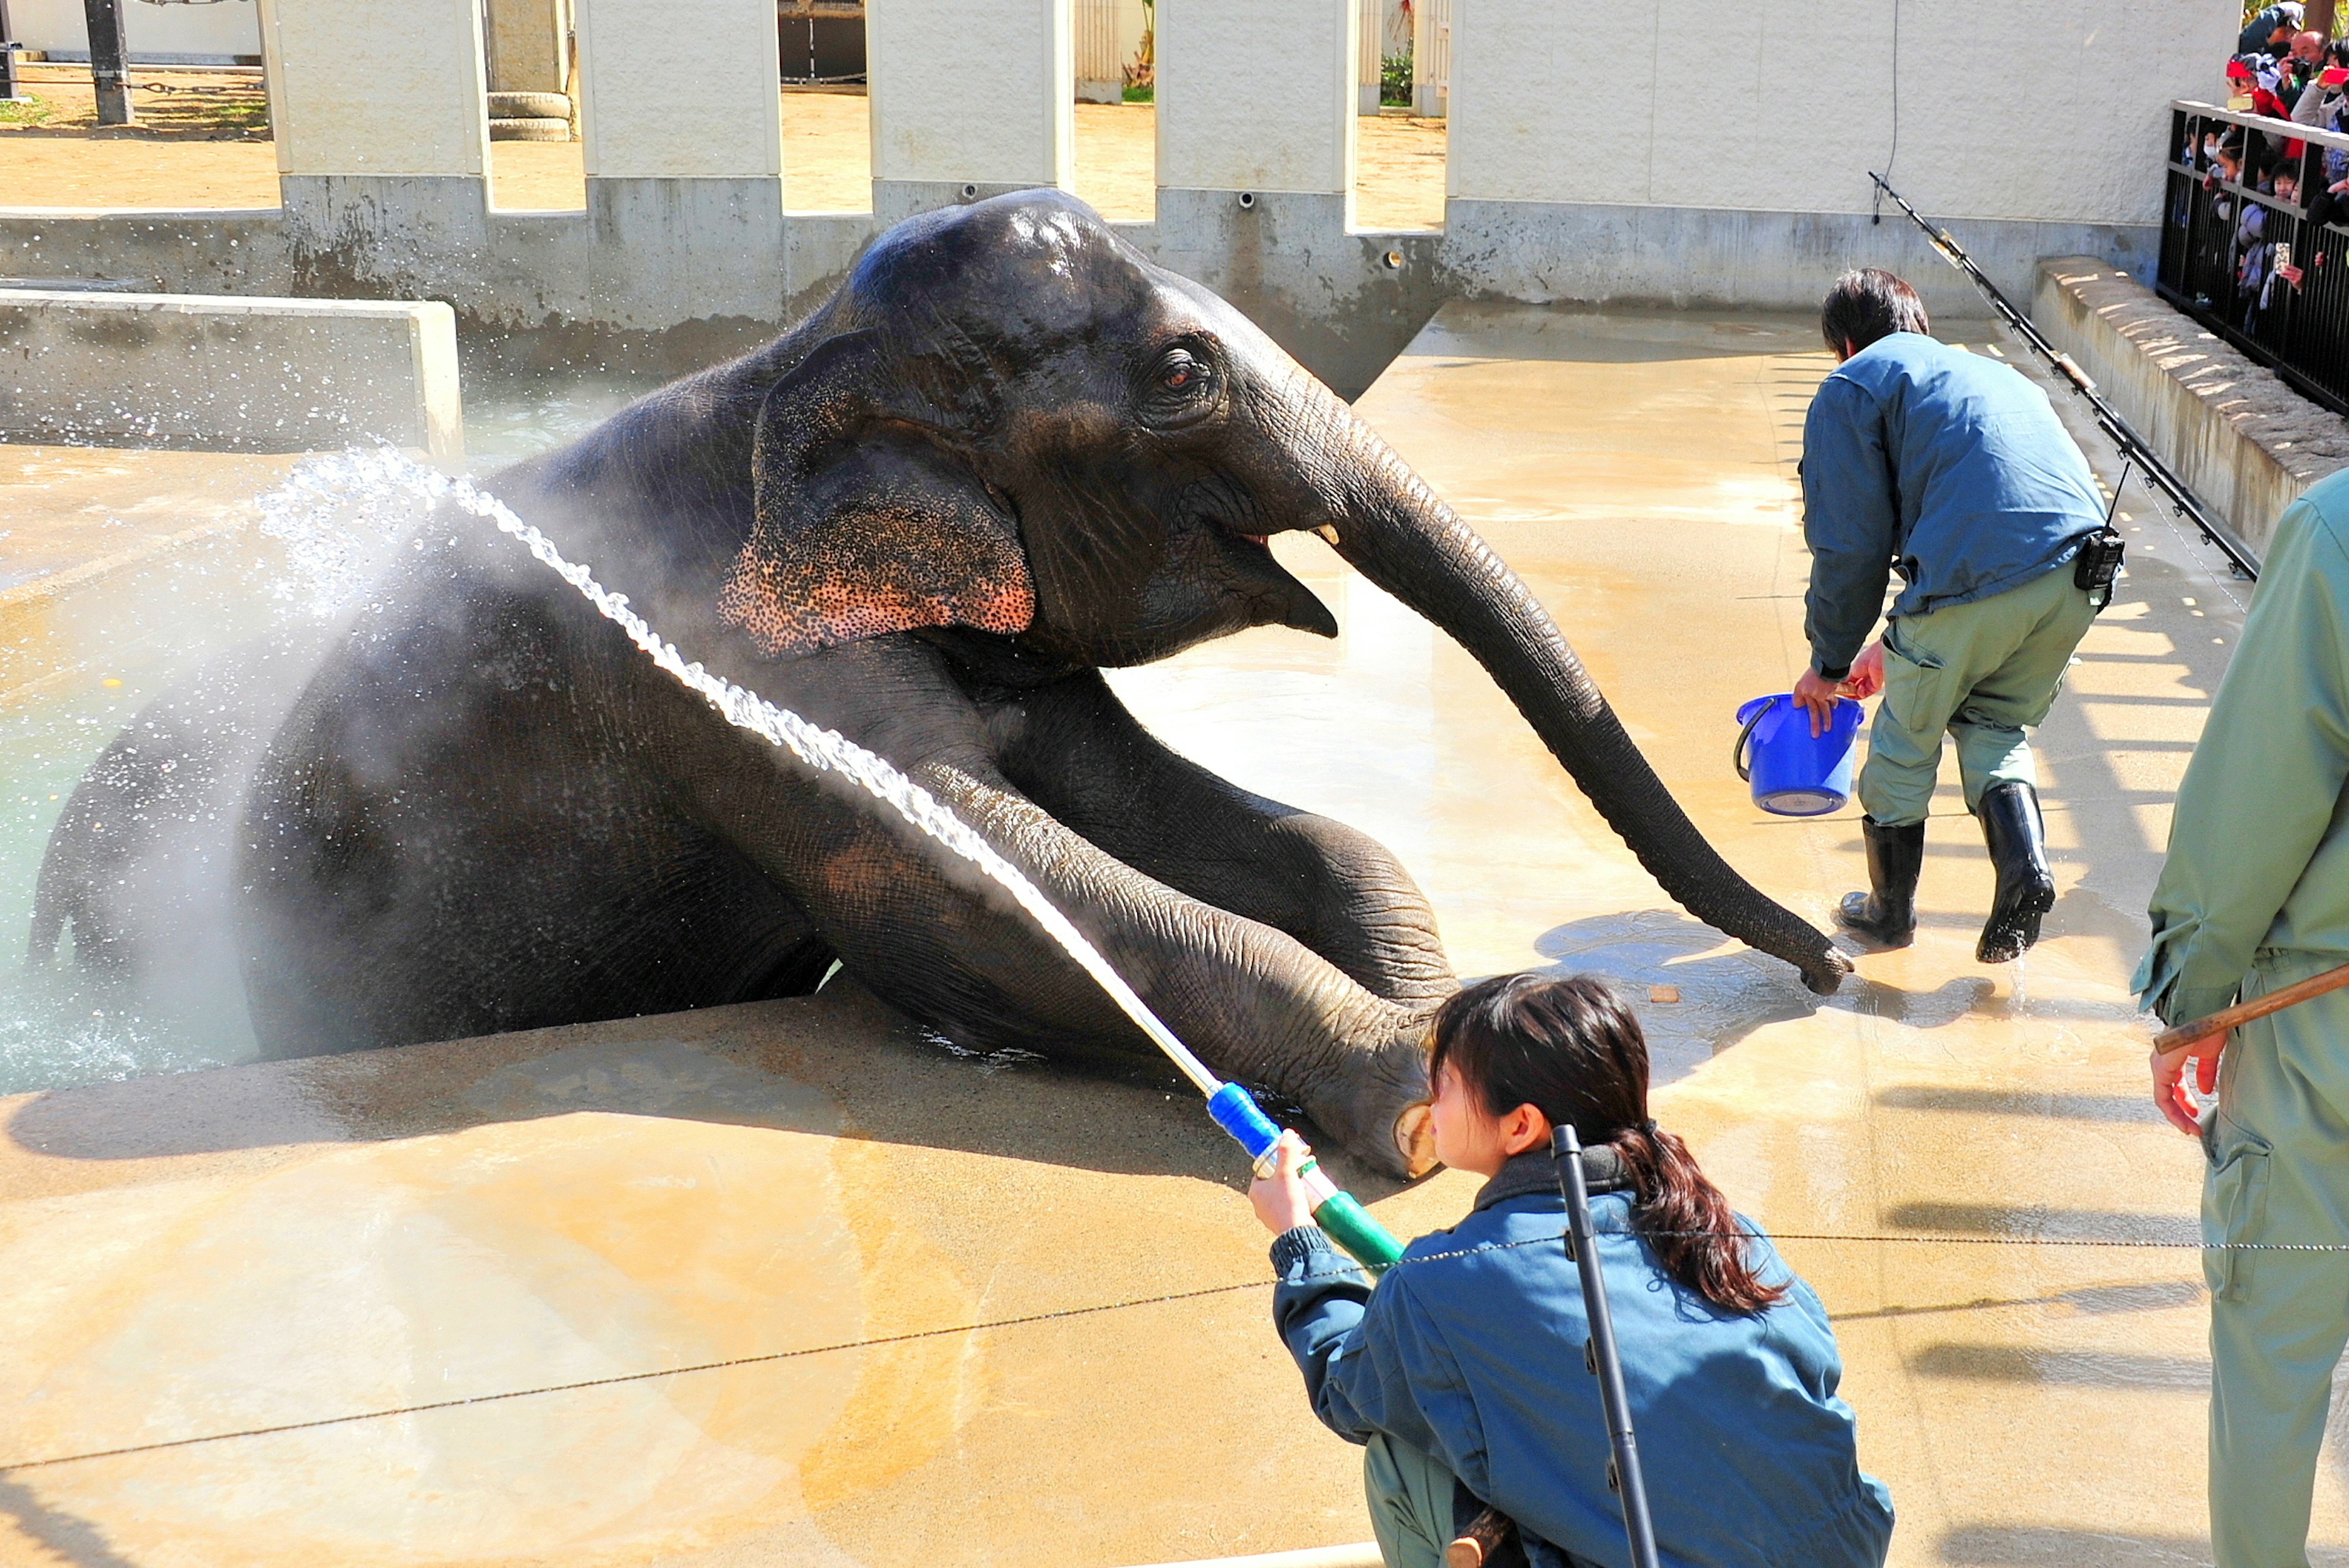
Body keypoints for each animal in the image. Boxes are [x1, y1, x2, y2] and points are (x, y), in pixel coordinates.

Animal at [28, 190, 1841, 1169]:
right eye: (1184, 374)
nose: (1830, 958)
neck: (785, 359)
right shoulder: (722, 670)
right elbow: (979, 880)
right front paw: (1403, 1098)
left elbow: (1148, 805)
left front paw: (1426, 993)